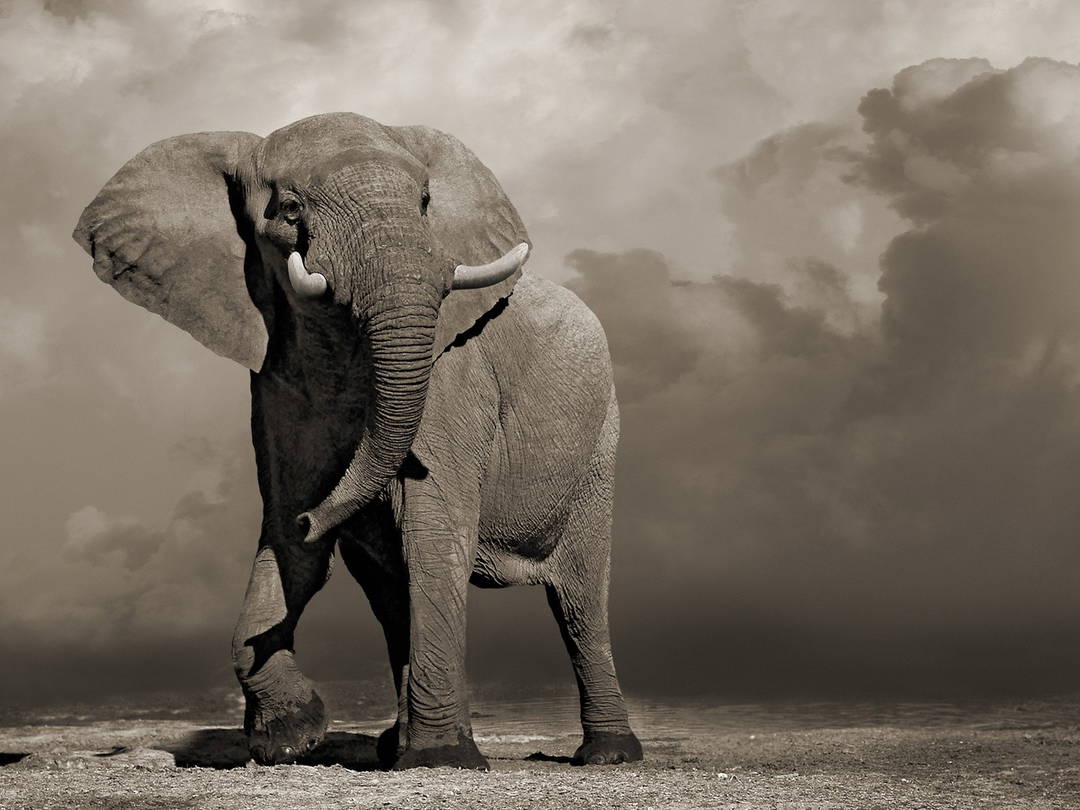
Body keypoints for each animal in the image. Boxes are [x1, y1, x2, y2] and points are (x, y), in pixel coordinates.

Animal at [72, 112, 642, 770]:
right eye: (289, 209)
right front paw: (292, 739)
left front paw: (441, 760)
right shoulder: (275, 387)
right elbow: (290, 549)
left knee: (579, 601)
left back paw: (608, 754)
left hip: (599, 443)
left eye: (426, 203)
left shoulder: (452, 378)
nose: (313, 518)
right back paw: (396, 746)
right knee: (391, 596)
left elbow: (434, 532)